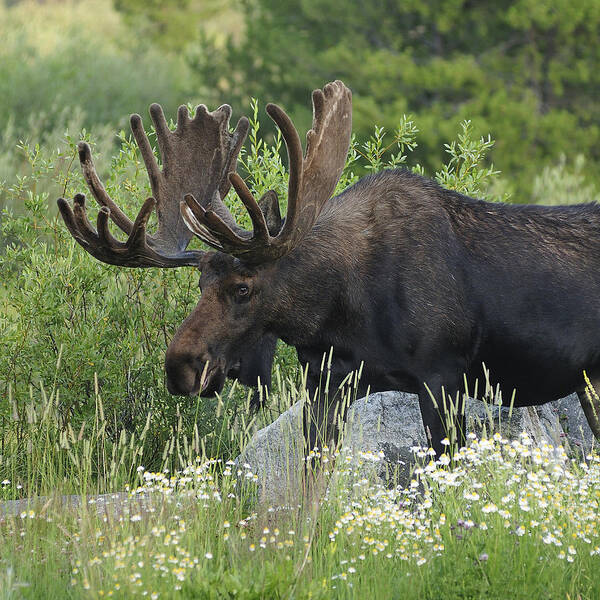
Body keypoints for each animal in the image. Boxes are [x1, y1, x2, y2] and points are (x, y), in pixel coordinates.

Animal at [58, 79, 600, 454]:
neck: (341, 312)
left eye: (243, 287)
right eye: (199, 283)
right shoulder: (327, 384)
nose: (180, 366)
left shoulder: (443, 375)